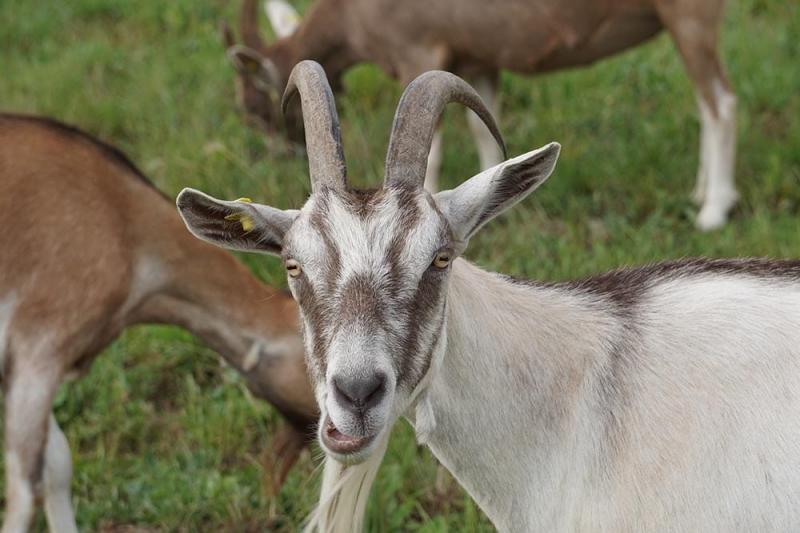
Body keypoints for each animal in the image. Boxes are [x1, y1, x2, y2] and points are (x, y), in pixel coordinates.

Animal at [222, 0, 736, 229]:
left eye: (253, 108)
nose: (280, 153)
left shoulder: (417, 50)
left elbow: (432, 153)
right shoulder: (476, 63)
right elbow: (485, 133)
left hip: (688, 15)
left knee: (721, 103)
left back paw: (714, 209)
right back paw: (700, 191)